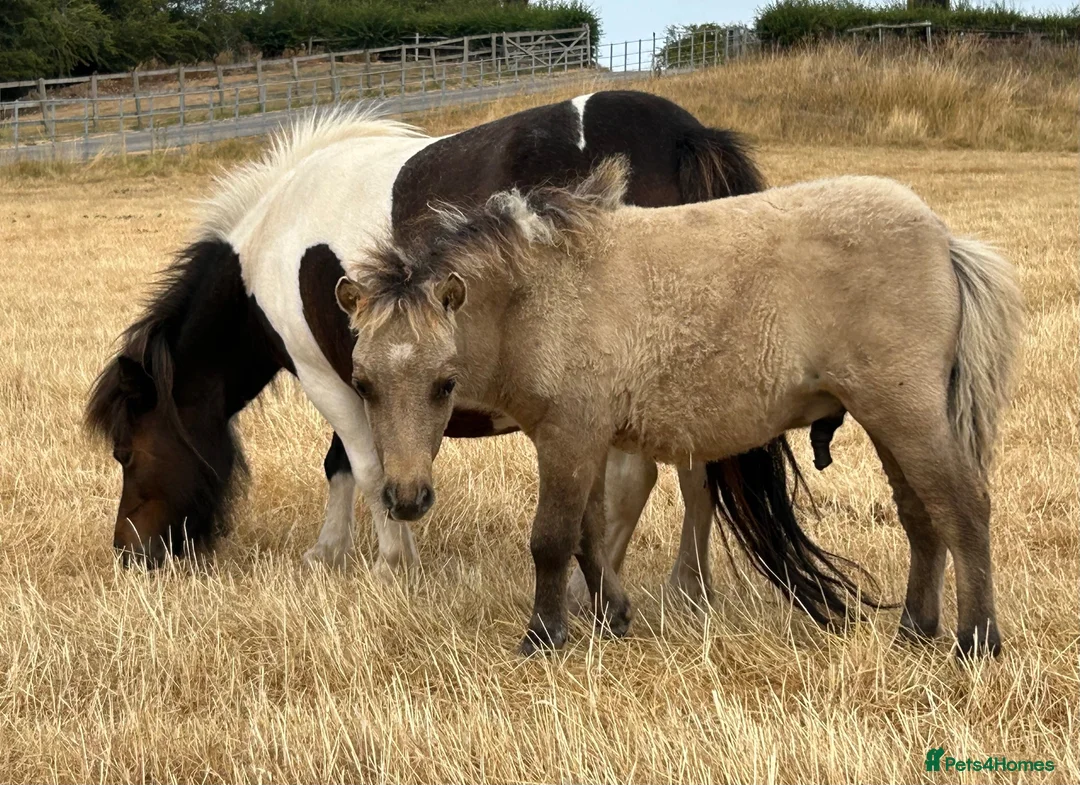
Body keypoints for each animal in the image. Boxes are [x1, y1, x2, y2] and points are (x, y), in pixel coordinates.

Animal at [85, 91, 774, 603]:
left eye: (125, 452)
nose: (128, 552)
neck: (268, 249)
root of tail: (684, 135)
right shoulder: (359, 371)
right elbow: (342, 463)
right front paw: (329, 551)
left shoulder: (323, 374)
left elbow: (366, 467)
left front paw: (394, 563)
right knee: (698, 470)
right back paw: (688, 588)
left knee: (641, 475)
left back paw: (593, 590)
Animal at [334, 158, 1023, 658]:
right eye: (363, 383)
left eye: (445, 384)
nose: (406, 499)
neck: (536, 297)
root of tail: (944, 240)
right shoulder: (584, 439)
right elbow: (589, 533)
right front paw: (612, 618)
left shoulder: (568, 436)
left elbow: (552, 539)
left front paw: (543, 637)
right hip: (888, 421)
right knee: (921, 515)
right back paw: (915, 630)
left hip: (906, 413)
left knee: (963, 507)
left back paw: (976, 641)